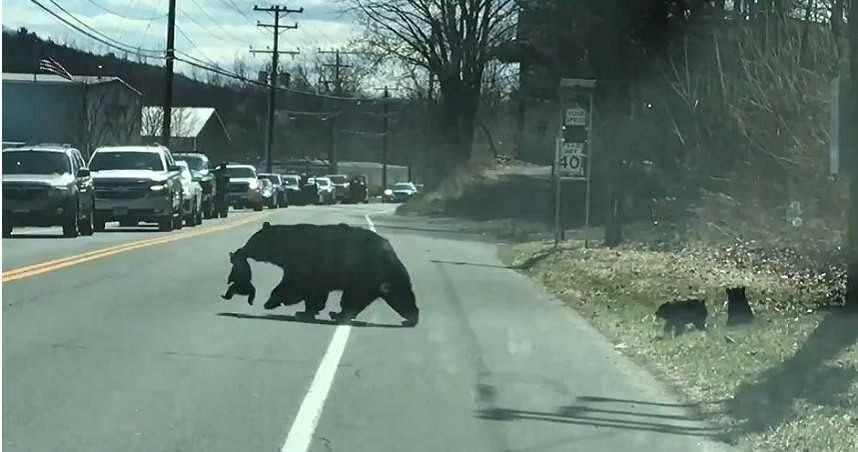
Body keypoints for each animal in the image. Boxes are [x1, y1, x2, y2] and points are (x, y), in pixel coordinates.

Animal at [232, 222, 420, 324]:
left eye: (251, 241)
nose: (240, 250)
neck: (287, 246)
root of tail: (391, 252)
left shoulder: (304, 263)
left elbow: (295, 284)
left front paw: (272, 301)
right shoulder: (316, 273)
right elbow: (315, 293)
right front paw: (307, 311)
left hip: (365, 275)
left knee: (353, 298)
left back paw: (339, 314)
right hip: (385, 279)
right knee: (400, 296)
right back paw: (411, 318)